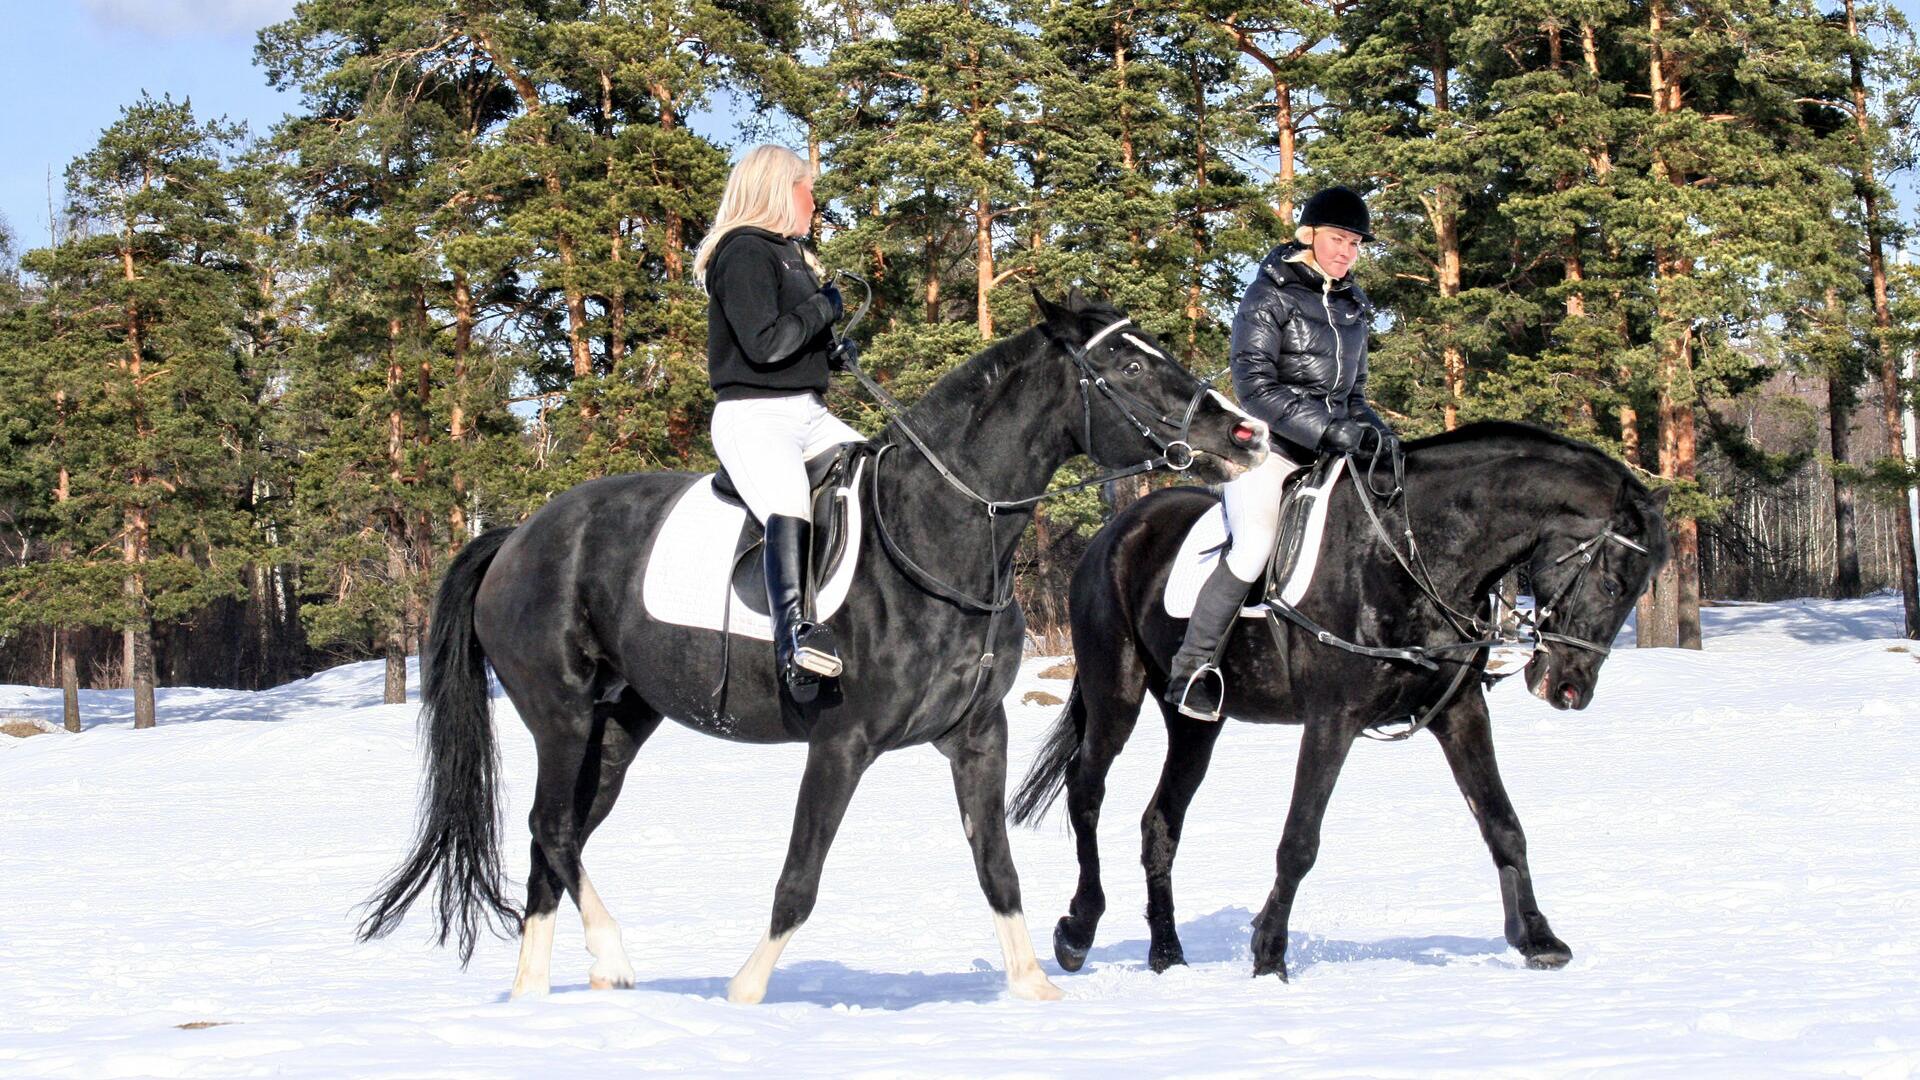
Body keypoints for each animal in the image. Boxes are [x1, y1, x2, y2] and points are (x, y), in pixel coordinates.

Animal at [359, 288, 1267, 999]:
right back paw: (598, 964)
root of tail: (517, 538)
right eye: (1131, 368)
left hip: (617, 727)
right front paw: (746, 993)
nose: (1245, 435)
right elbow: (799, 878)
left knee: (561, 840)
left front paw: (1036, 987)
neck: (937, 532)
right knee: (550, 828)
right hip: (563, 717)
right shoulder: (842, 741)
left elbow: (996, 866)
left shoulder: (977, 734)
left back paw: (547, 985)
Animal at [1021, 424, 1666, 980]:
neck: (1409, 552)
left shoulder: (1460, 715)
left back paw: (1167, 955)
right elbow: (1300, 841)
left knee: (1161, 821)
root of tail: (1117, 531)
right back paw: (1077, 932)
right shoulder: (1332, 719)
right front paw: (1269, 955)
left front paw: (1537, 939)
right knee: (1086, 791)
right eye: (1614, 583)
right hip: (1115, 694)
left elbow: (1502, 823)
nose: (1570, 690)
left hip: (1196, 722)